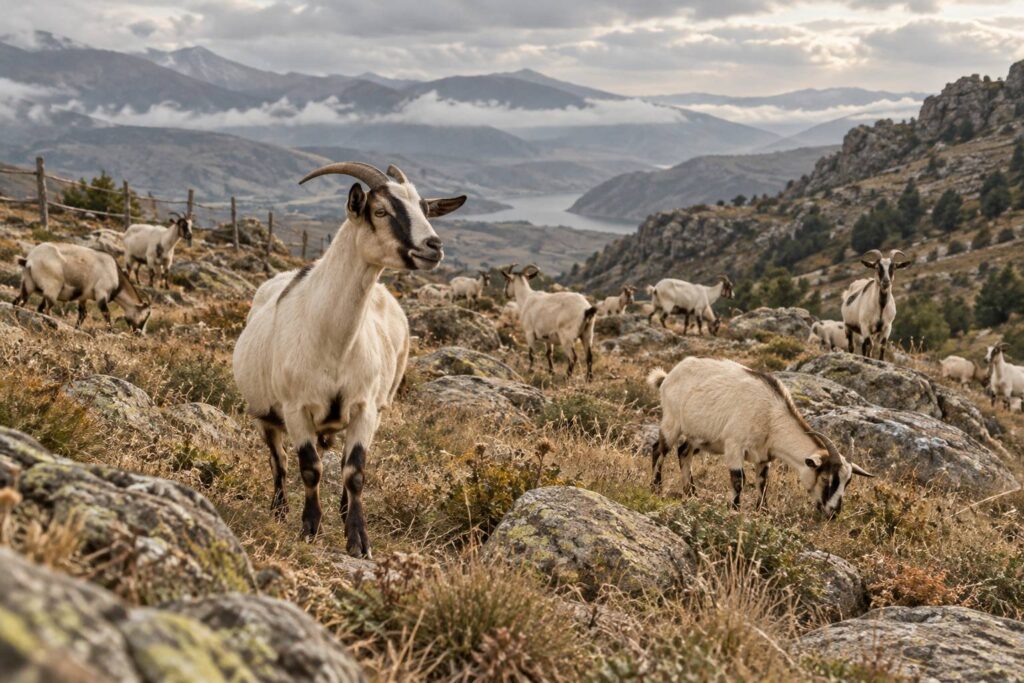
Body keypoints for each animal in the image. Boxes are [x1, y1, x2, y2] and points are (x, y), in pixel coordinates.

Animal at [14, 242, 150, 332]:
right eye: (146, 315)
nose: (138, 333)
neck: (116, 276)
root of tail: (30, 260)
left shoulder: (83, 297)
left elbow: (82, 314)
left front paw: (77, 329)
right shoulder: (101, 293)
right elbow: (106, 313)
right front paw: (110, 331)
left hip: (28, 283)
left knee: (19, 302)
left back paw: (18, 320)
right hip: (53, 287)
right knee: (45, 309)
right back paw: (52, 325)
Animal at [233, 161, 466, 556]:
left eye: (423, 208)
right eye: (380, 211)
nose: (433, 247)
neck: (333, 343)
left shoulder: (364, 408)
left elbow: (354, 472)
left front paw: (358, 539)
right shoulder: (295, 409)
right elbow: (309, 468)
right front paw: (309, 528)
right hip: (264, 413)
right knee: (278, 460)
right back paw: (279, 509)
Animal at [647, 357, 872, 516]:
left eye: (847, 482)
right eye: (826, 478)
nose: (833, 512)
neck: (771, 416)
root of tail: (667, 377)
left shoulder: (765, 456)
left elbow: (763, 483)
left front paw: (763, 510)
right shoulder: (734, 445)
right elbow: (739, 479)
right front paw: (734, 509)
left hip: (697, 436)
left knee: (683, 452)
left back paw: (691, 493)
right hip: (672, 422)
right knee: (659, 449)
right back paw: (656, 488)